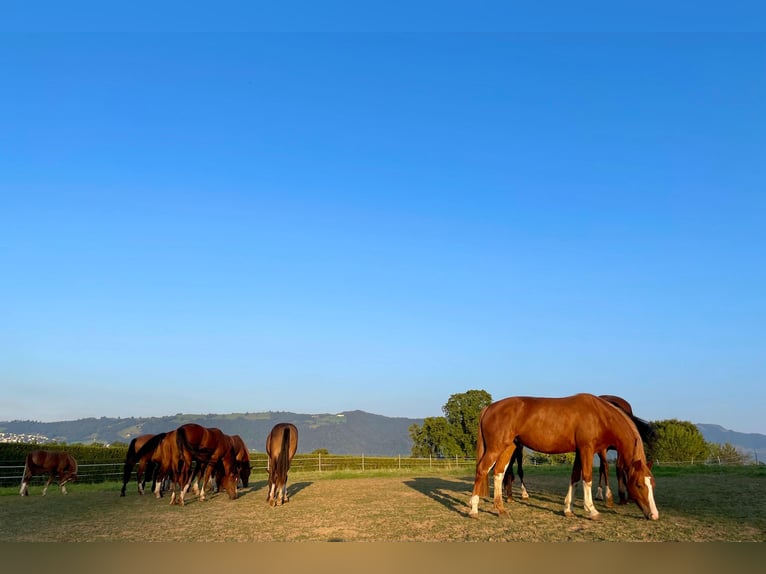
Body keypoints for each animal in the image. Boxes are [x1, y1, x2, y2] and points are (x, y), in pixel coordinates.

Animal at [469, 393, 658, 521]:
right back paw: (474, 509)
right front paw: (592, 510)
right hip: (496, 447)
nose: (654, 515)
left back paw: (500, 509)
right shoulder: (587, 449)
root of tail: (490, 407)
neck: (599, 415)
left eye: (653, 484)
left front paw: (568, 509)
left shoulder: (580, 452)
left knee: (498, 473)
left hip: (509, 447)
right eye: (639, 485)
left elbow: (574, 478)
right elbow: (587, 477)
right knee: (482, 470)